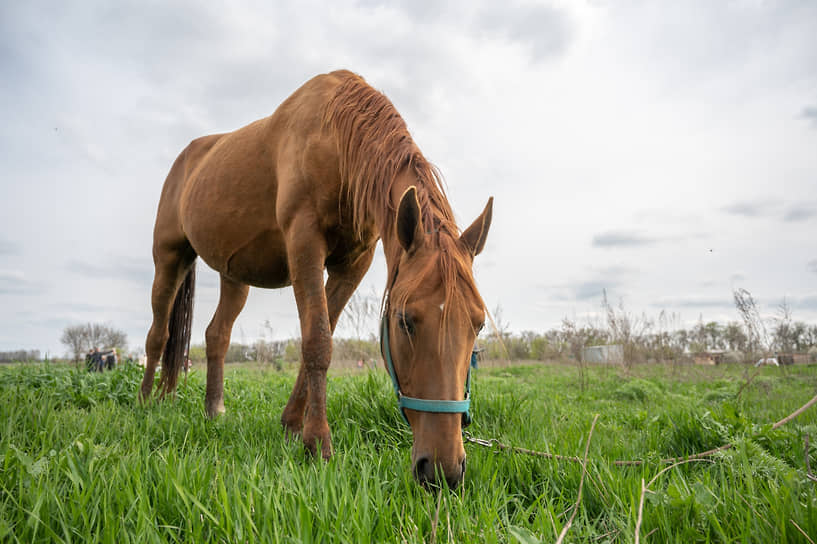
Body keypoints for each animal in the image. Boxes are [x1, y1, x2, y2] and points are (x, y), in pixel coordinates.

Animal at [139, 69, 490, 488]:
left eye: (478, 324)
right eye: (405, 320)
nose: (444, 470)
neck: (337, 138)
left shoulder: (353, 264)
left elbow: (320, 336)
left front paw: (293, 424)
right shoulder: (304, 244)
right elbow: (318, 341)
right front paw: (318, 442)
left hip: (233, 276)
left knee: (216, 336)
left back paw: (214, 409)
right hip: (169, 259)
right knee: (159, 334)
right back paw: (146, 401)